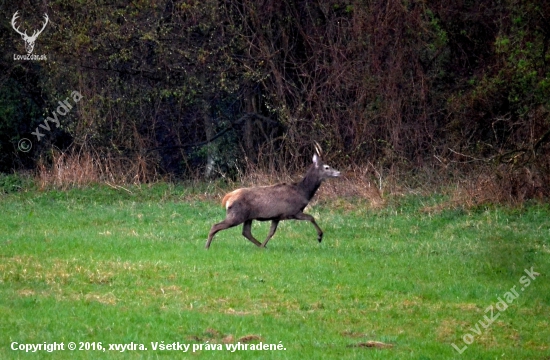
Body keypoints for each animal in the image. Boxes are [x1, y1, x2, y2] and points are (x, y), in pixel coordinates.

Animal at [206, 145, 340, 249]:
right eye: (327, 167)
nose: (339, 172)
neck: (303, 193)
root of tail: (228, 198)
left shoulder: (277, 216)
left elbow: (271, 232)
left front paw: (264, 245)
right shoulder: (292, 211)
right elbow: (311, 217)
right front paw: (319, 236)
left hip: (248, 217)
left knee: (246, 232)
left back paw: (261, 246)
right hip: (237, 214)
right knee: (215, 226)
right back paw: (206, 247)